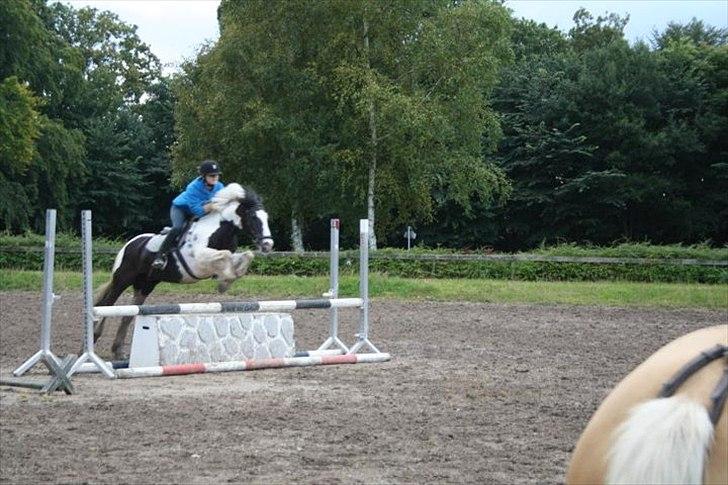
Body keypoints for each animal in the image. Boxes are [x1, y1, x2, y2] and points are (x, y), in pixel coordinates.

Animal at [91, 183, 272, 358]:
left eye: (267, 218)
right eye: (254, 218)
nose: (268, 245)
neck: (218, 230)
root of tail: (130, 245)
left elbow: (246, 255)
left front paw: (227, 279)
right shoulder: (197, 260)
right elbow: (225, 255)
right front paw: (225, 281)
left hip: (145, 285)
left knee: (128, 314)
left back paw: (118, 351)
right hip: (123, 279)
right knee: (107, 305)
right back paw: (93, 339)